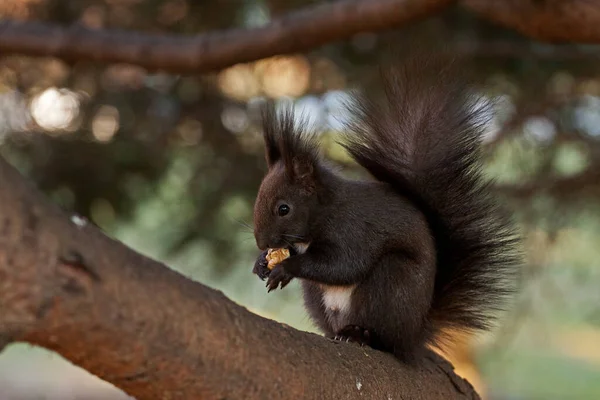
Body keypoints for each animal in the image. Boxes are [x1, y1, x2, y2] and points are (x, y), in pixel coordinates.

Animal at [250, 52, 520, 362]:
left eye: (284, 209)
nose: (262, 242)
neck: (324, 212)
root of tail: (414, 334)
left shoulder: (352, 230)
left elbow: (343, 265)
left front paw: (286, 267)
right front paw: (262, 262)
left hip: (391, 283)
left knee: (383, 338)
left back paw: (360, 335)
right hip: (317, 298)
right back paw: (339, 334)